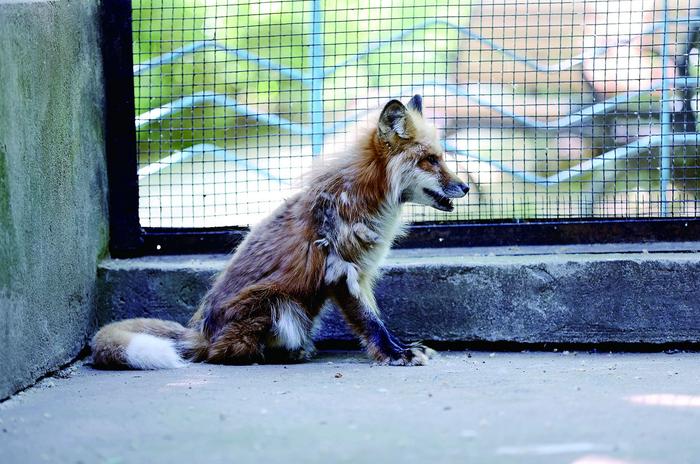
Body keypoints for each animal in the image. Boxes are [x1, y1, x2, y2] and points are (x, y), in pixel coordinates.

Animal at [90, 96, 468, 368]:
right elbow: (371, 323)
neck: (363, 198)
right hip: (282, 308)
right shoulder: (342, 270)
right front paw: (394, 354)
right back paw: (275, 354)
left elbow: (377, 318)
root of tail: (199, 332)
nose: (465, 186)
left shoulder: (360, 274)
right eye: (431, 160)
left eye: (442, 157)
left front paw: (401, 348)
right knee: (222, 353)